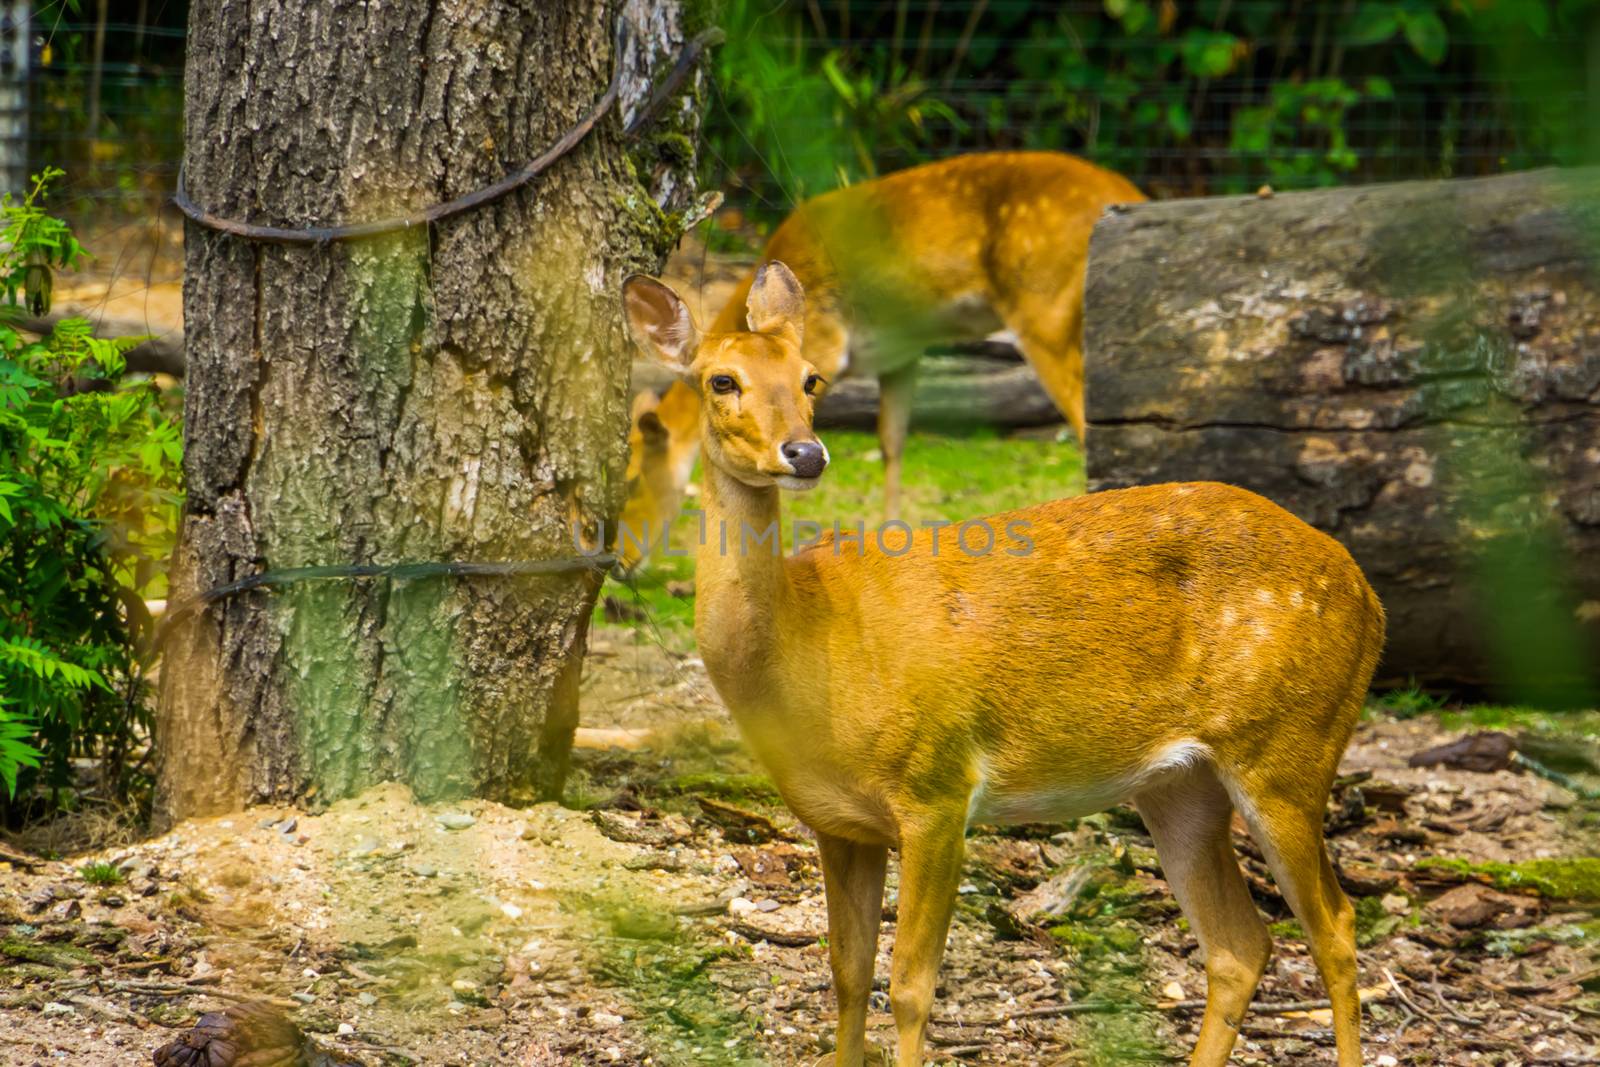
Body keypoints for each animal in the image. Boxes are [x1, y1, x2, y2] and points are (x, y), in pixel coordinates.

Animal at [614, 150, 1152, 566]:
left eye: (633, 482)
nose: (620, 563)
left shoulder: (825, 343)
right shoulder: (902, 352)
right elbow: (892, 441)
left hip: (1044, 310)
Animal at [617, 260, 1382, 1067]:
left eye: (810, 378)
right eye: (722, 379)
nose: (806, 452)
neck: (812, 644)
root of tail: (1368, 596)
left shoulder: (936, 787)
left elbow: (910, 985)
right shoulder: (838, 822)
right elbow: (848, 973)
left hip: (1290, 747)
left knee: (1335, 928)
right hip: (1181, 783)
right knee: (1240, 945)